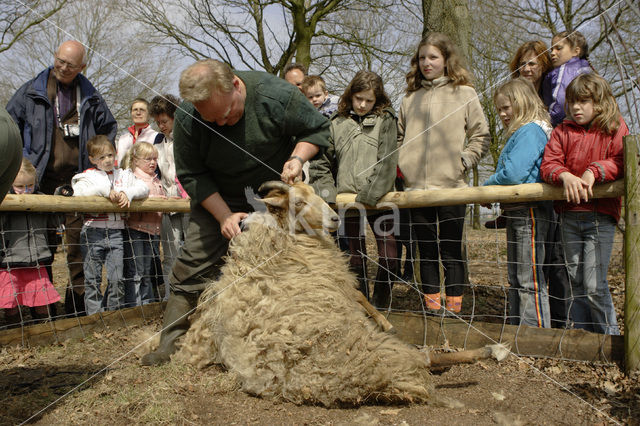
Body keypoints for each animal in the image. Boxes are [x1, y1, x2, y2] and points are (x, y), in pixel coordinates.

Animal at [175, 181, 504, 408]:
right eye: (298, 201)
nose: (335, 219)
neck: (279, 239)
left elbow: (360, 295)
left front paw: (382, 318)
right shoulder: (332, 278)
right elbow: (358, 293)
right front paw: (385, 321)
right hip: (368, 350)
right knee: (424, 359)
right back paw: (488, 352)